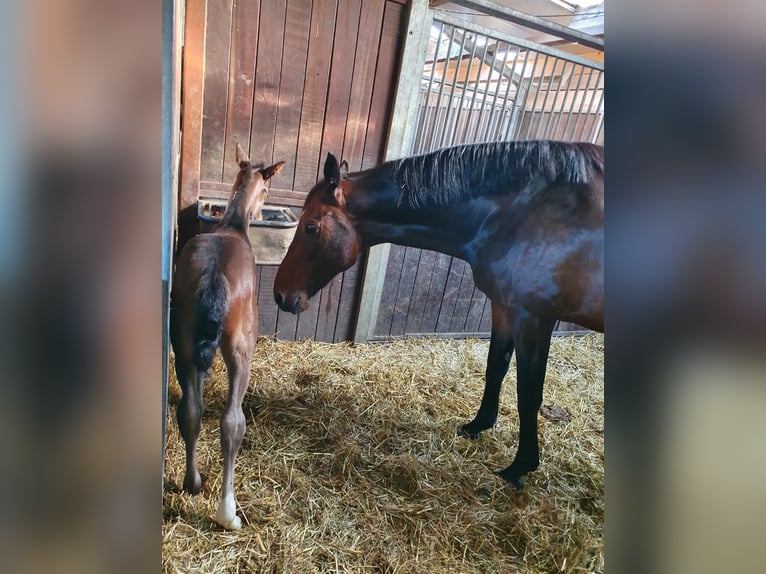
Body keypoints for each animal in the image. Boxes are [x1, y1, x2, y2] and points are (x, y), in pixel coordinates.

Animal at [171, 145, 284, 532]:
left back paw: (192, 482)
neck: (232, 225)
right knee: (232, 422)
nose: (263, 209)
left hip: (183, 343)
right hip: (239, 349)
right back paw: (227, 512)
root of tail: (214, 276)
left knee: (190, 410)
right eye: (267, 188)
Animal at [272, 142, 604, 488]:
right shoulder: (503, 307)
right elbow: (495, 368)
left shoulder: (534, 319)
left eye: (311, 227)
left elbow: (528, 394)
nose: (280, 294)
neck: (519, 214)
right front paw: (477, 426)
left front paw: (520, 467)